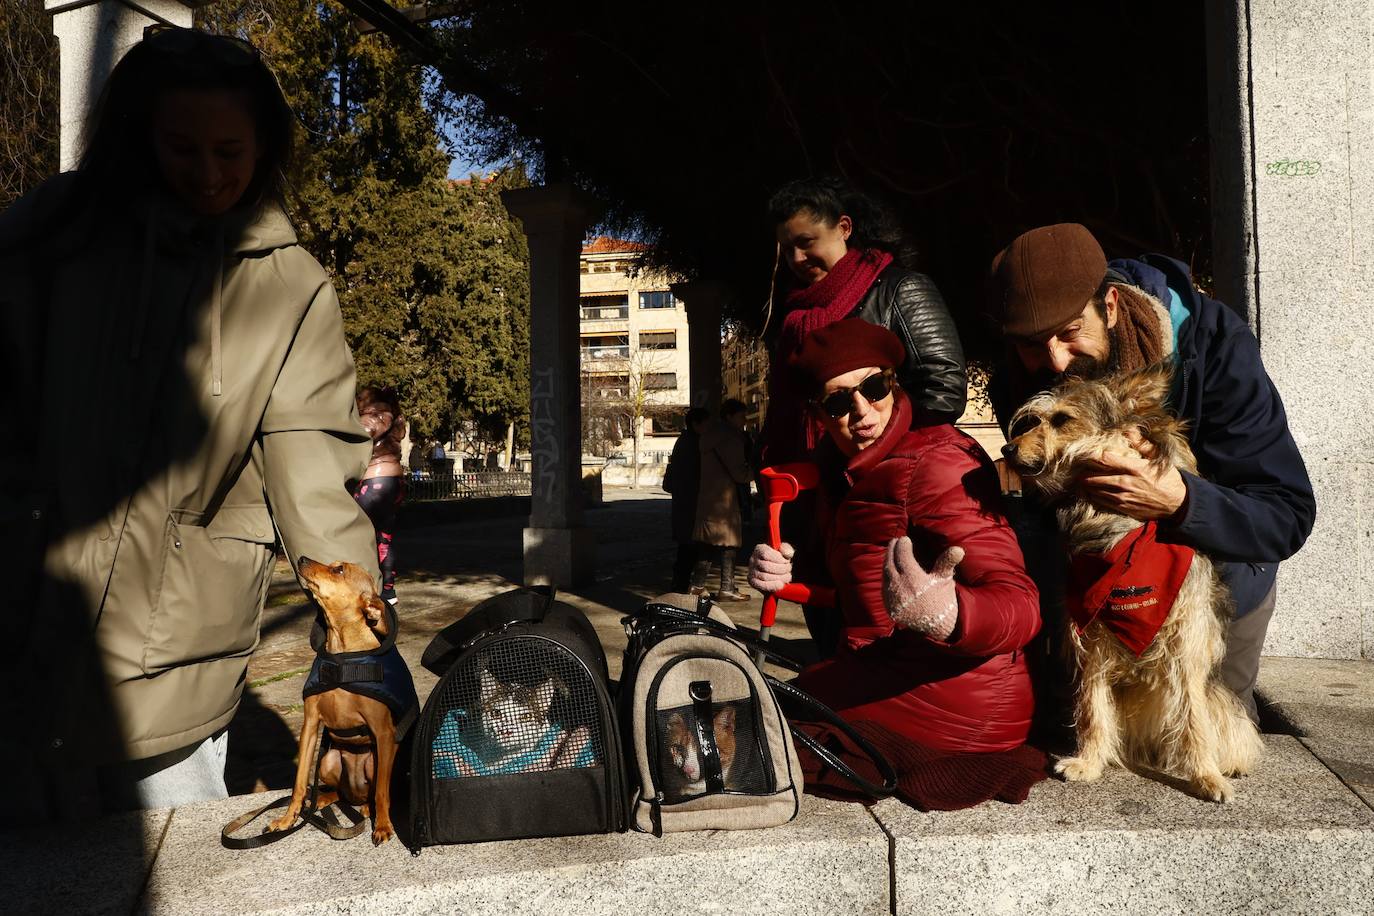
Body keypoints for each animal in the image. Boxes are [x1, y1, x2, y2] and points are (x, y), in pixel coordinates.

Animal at [266, 560, 406, 845]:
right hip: (328, 760)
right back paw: (321, 800)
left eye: (339, 570)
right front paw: (288, 819)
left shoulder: (383, 732)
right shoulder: (310, 726)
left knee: (373, 792)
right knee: (339, 792)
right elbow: (299, 783)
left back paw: (368, 809)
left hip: (375, 762)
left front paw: (383, 826)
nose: (302, 559)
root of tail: (355, 793)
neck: (342, 657)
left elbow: (382, 792)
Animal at [1005, 365, 1258, 802]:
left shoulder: (1187, 639)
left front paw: (1205, 776)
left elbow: (1194, 717)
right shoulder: (1090, 635)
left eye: (1062, 419)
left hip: (1221, 702)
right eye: (1037, 419)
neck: (1119, 531)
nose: (1006, 450)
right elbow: (1093, 708)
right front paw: (1089, 762)